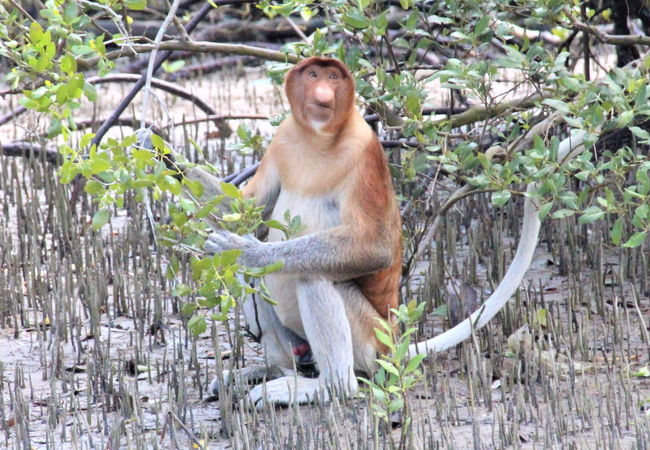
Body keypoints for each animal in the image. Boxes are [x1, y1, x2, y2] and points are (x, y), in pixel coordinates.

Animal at [191, 57, 588, 408]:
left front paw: (249, 249)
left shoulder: (363, 150)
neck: (319, 140)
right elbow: (246, 208)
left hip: (369, 340)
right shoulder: (284, 138)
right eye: (313, 74)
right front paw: (178, 165)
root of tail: (394, 343)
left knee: (311, 275)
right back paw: (267, 370)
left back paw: (326, 387)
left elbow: (375, 246)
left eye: (333, 77)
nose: (323, 93)